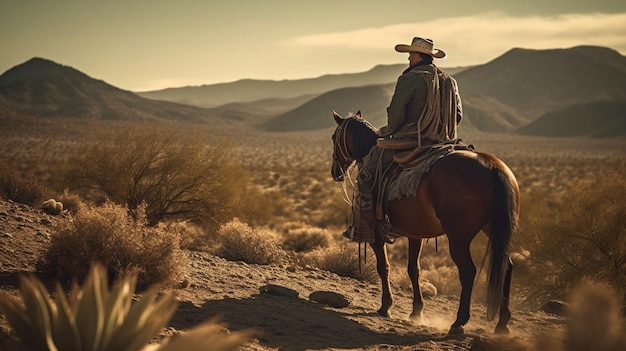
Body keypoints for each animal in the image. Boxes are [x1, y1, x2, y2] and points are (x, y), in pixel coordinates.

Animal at [330, 112, 520, 336]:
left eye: (334, 137)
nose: (335, 172)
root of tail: (491, 166)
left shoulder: (376, 233)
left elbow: (383, 267)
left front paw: (386, 307)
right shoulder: (415, 233)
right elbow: (414, 269)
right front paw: (416, 311)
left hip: (459, 238)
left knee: (468, 271)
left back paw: (459, 322)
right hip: (495, 230)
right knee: (507, 266)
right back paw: (502, 323)